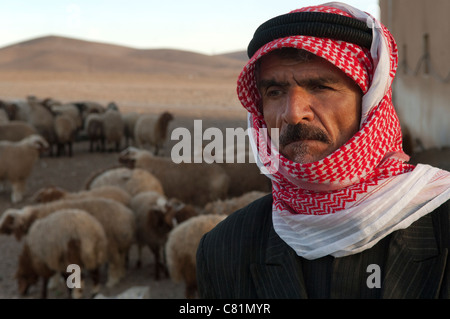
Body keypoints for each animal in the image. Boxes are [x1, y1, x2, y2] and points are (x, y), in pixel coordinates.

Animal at [0, 198, 136, 288]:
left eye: (8, 221)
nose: (0, 229)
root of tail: (127, 215)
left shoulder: (51, 247)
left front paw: (53, 283)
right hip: (119, 242)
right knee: (121, 259)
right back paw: (121, 274)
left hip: (110, 243)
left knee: (114, 261)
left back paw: (112, 281)